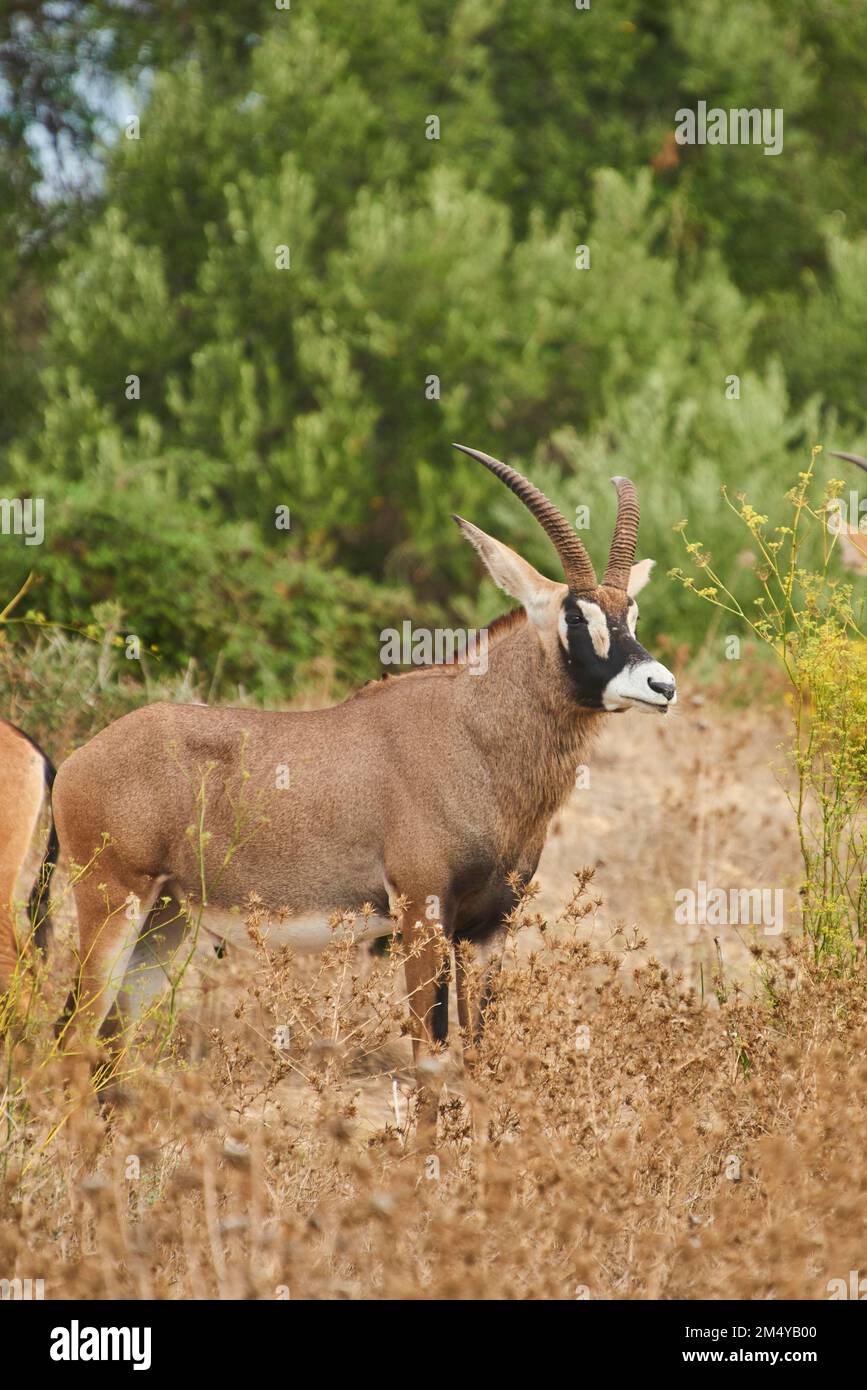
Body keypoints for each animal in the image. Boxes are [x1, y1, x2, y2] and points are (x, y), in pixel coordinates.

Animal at [54, 450, 678, 1112]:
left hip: (165, 920)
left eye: (631, 612)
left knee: (113, 1043)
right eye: (575, 615)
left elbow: (479, 1062)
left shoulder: (487, 931)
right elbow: (430, 1061)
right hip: (113, 900)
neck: (472, 733)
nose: (661, 685)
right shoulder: (422, 917)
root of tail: (76, 761)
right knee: (76, 1037)